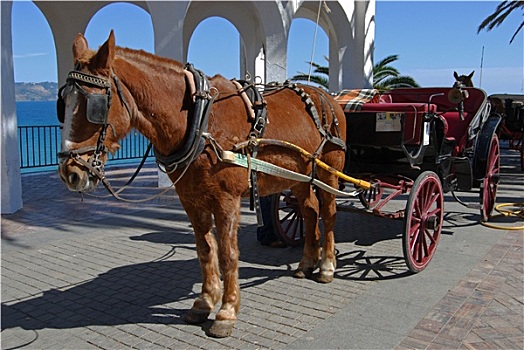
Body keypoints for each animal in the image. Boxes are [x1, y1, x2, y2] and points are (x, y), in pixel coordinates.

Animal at [57, 31, 346, 338]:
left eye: (94, 106)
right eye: (63, 104)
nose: (70, 172)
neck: (199, 120)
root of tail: (327, 97)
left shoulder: (227, 200)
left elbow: (228, 254)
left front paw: (227, 311)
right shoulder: (191, 199)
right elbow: (206, 250)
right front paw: (205, 301)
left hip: (328, 173)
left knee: (328, 213)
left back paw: (327, 266)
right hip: (300, 175)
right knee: (309, 210)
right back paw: (307, 262)